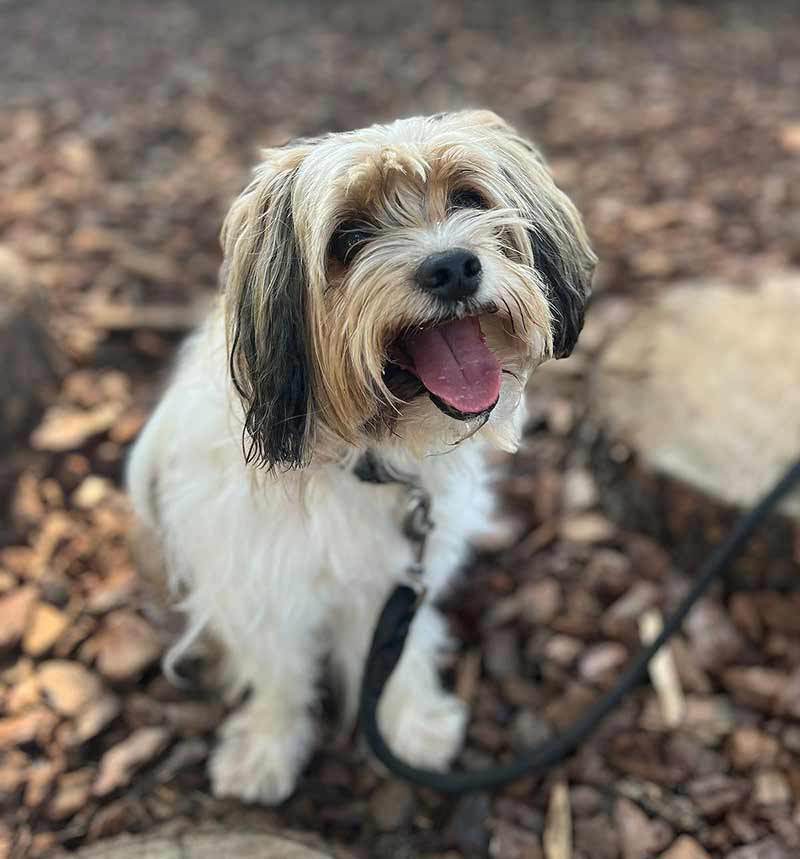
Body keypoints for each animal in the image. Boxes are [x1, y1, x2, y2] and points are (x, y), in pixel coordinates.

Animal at [128, 111, 596, 804]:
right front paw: (266, 749)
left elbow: (398, 648)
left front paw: (412, 724)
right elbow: (277, 671)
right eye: (347, 237)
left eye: (468, 199)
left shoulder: (400, 574)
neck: (364, 456)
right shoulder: (259, 582)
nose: (453, 266)